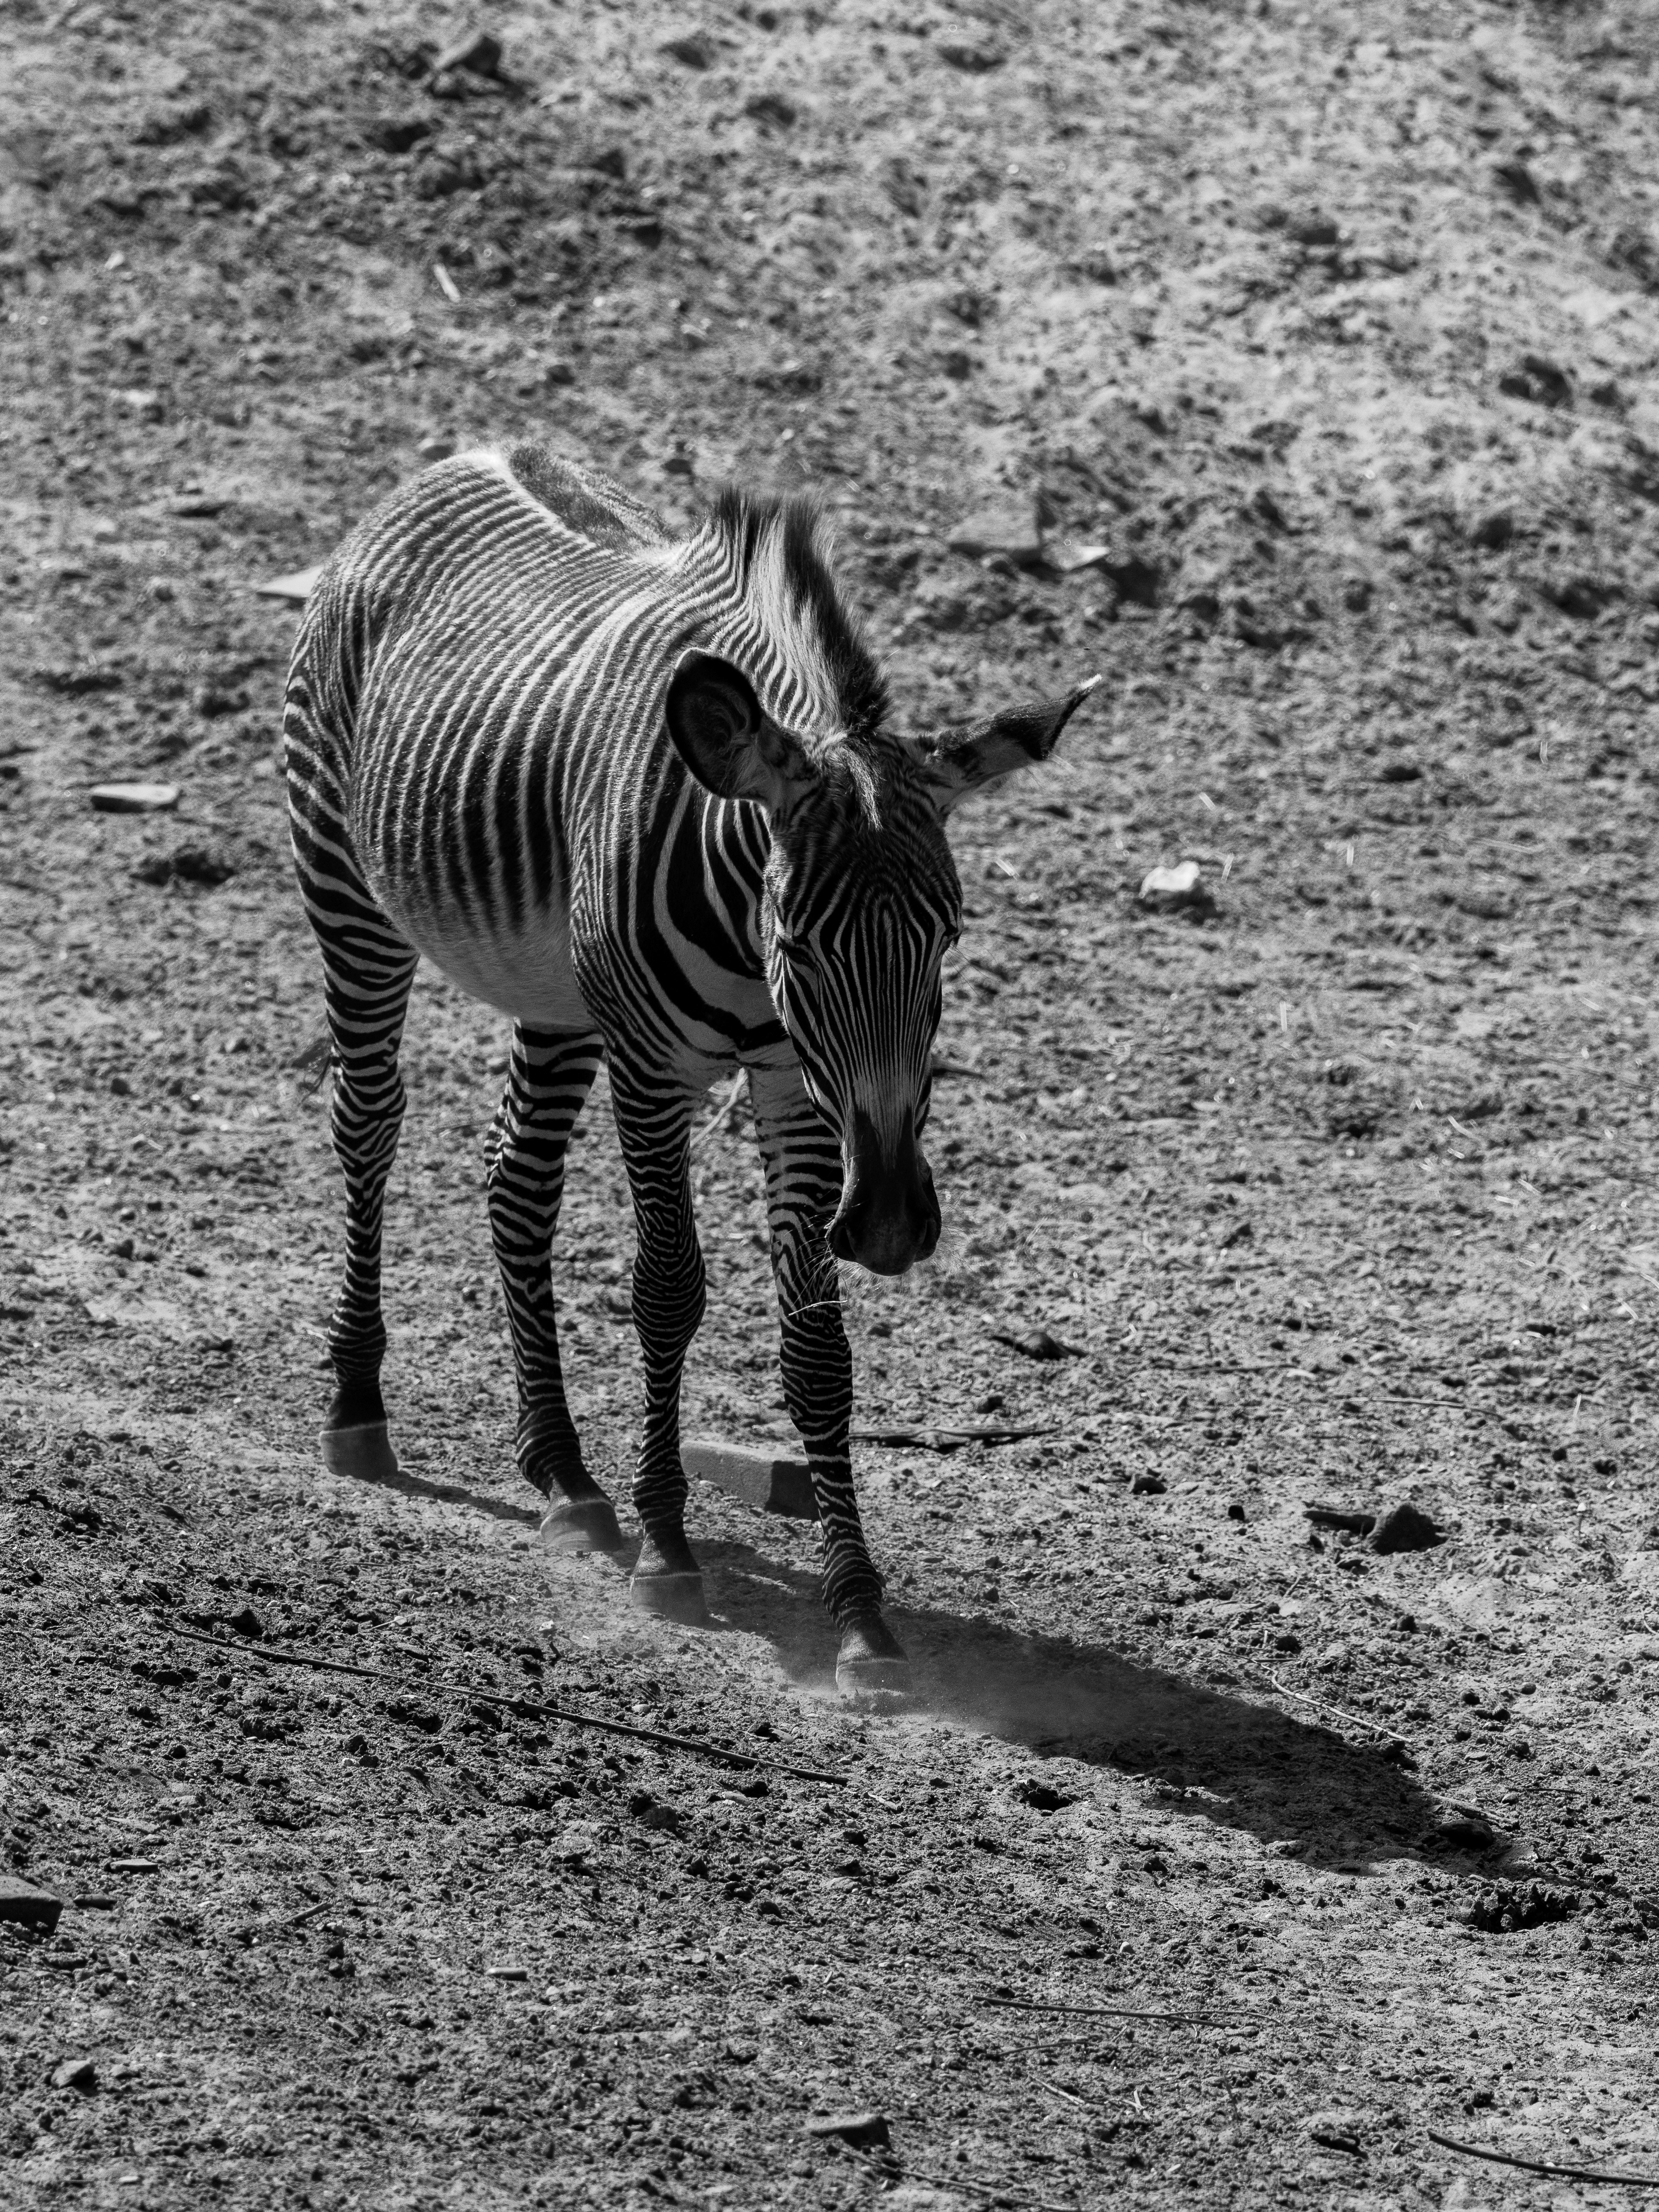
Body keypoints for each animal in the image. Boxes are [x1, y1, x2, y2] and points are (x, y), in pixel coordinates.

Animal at [284, 443, 1096, 1697]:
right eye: (799, 940)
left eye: (948, 938)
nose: (894, 1223)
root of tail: (460, 456)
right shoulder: (654, 1061)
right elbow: (669, 1286)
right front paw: (669, 1549)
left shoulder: (795, 1086)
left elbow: (816, 1338)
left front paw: (860, 1609)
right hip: (350, 888)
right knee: (368, 1123)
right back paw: (358, 1407)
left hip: (556, 989)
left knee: (517, 1185)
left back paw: (565, 1476)